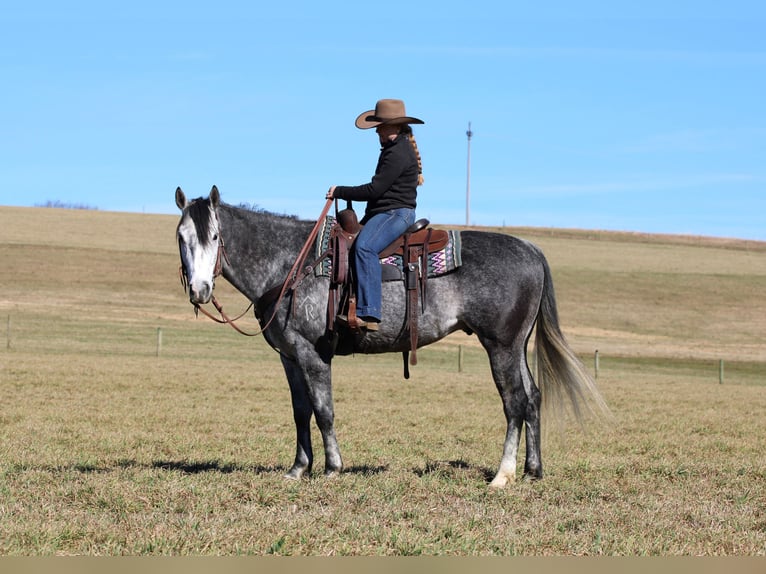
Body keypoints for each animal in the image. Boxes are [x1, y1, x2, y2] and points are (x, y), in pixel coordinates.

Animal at [175, 185, 608, 488]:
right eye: (181, 237)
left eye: (215, 237)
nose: (199, 290)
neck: (291, 264)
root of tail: (531, 249)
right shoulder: (289, 356)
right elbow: (301, 412)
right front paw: (298, 468)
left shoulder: (313, 354)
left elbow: (324, 410)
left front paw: (332, 468)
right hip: (517, 347)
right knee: (533, 398)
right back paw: (533, 470)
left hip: (500, 347)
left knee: (514, 402)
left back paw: (503, 475)